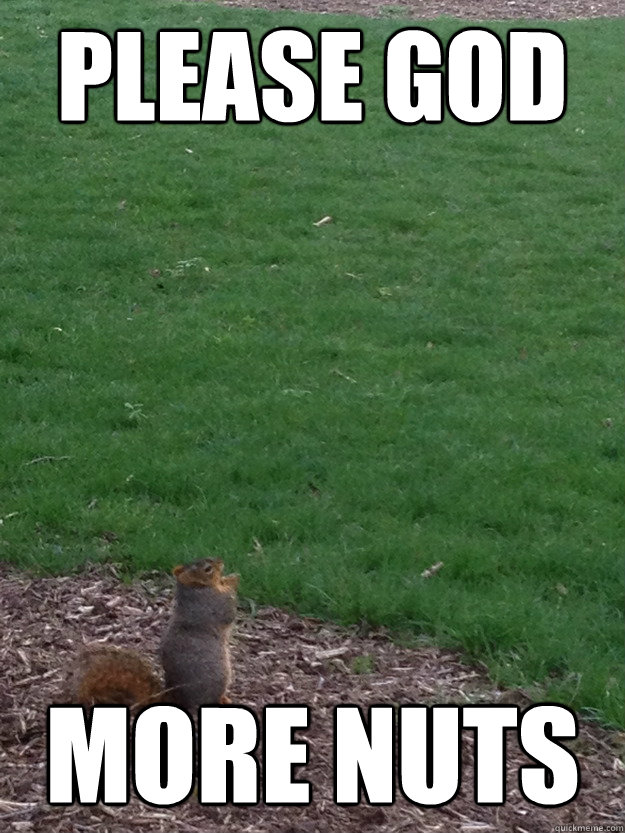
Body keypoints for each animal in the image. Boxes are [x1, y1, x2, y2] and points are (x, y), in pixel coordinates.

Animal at [65, 558, 239, 711]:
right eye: (208, 569)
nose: (221, 561)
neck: (195, 589)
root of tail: (177, 699)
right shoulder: (213, 603)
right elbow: (228, 612)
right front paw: (231, 580)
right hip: (219, 678)